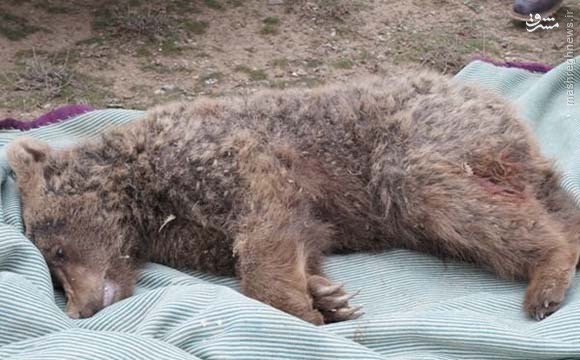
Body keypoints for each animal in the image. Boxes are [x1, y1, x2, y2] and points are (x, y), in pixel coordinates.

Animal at [7, 69, 580, 324]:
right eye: (53, 276)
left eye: (57, 251)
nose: (80, 309)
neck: (145, 201)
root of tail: (487, 97)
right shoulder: (198, 232)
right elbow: (292, 240)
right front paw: (326, 296)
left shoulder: (233, 162)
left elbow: (263, 238)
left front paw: (304, 310)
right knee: (553, 203)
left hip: (422, 145)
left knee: (457, 201)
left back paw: (546, 283)